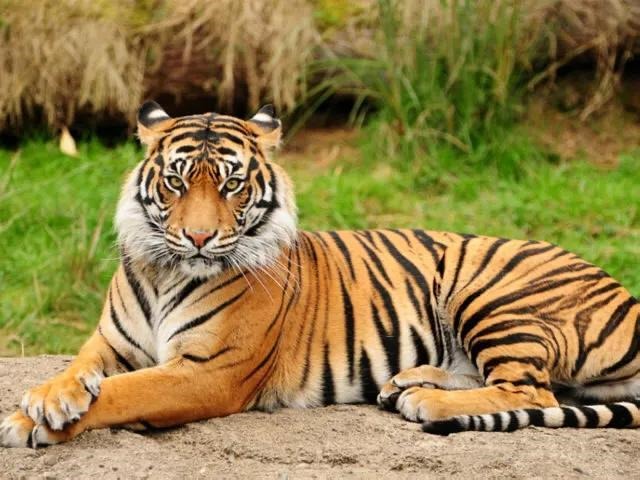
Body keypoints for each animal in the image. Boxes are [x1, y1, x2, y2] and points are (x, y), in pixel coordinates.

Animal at [1, 101, 639, 448]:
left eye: (232, 185)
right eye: (177, 181)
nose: (200, 238)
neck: (165, 271)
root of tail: (627, 296)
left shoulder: (208, 371)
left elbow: (124, 392)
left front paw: (33, 422)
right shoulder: (110, 341)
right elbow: (79, 369)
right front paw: (45, 399)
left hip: (490, 293)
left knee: (528, 387)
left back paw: (425, 403)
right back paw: (408, 382)